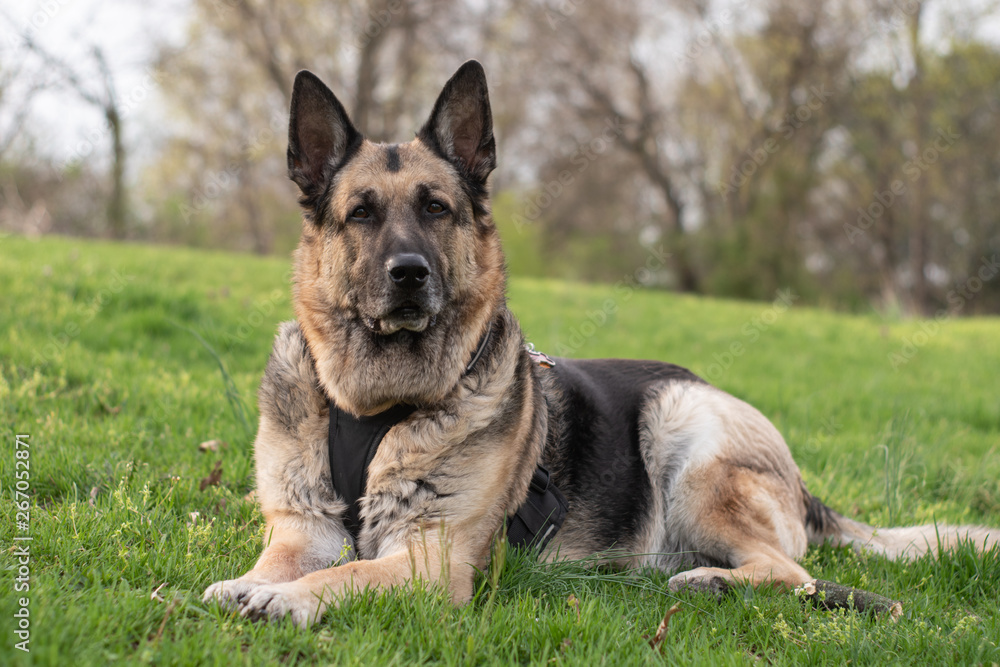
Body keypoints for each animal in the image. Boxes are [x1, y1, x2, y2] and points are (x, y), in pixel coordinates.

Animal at [201, 61, 992, 628]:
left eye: (436, 209)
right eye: (360, 214)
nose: (410, 274)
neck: (374, 403)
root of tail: (799, 485)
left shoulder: (429, 559)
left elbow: (350, 572)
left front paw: (290, 598)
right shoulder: (301, 530)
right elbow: (281, 561)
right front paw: (249, 584)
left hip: (686, 434)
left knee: (789, 573)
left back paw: (708, 578)